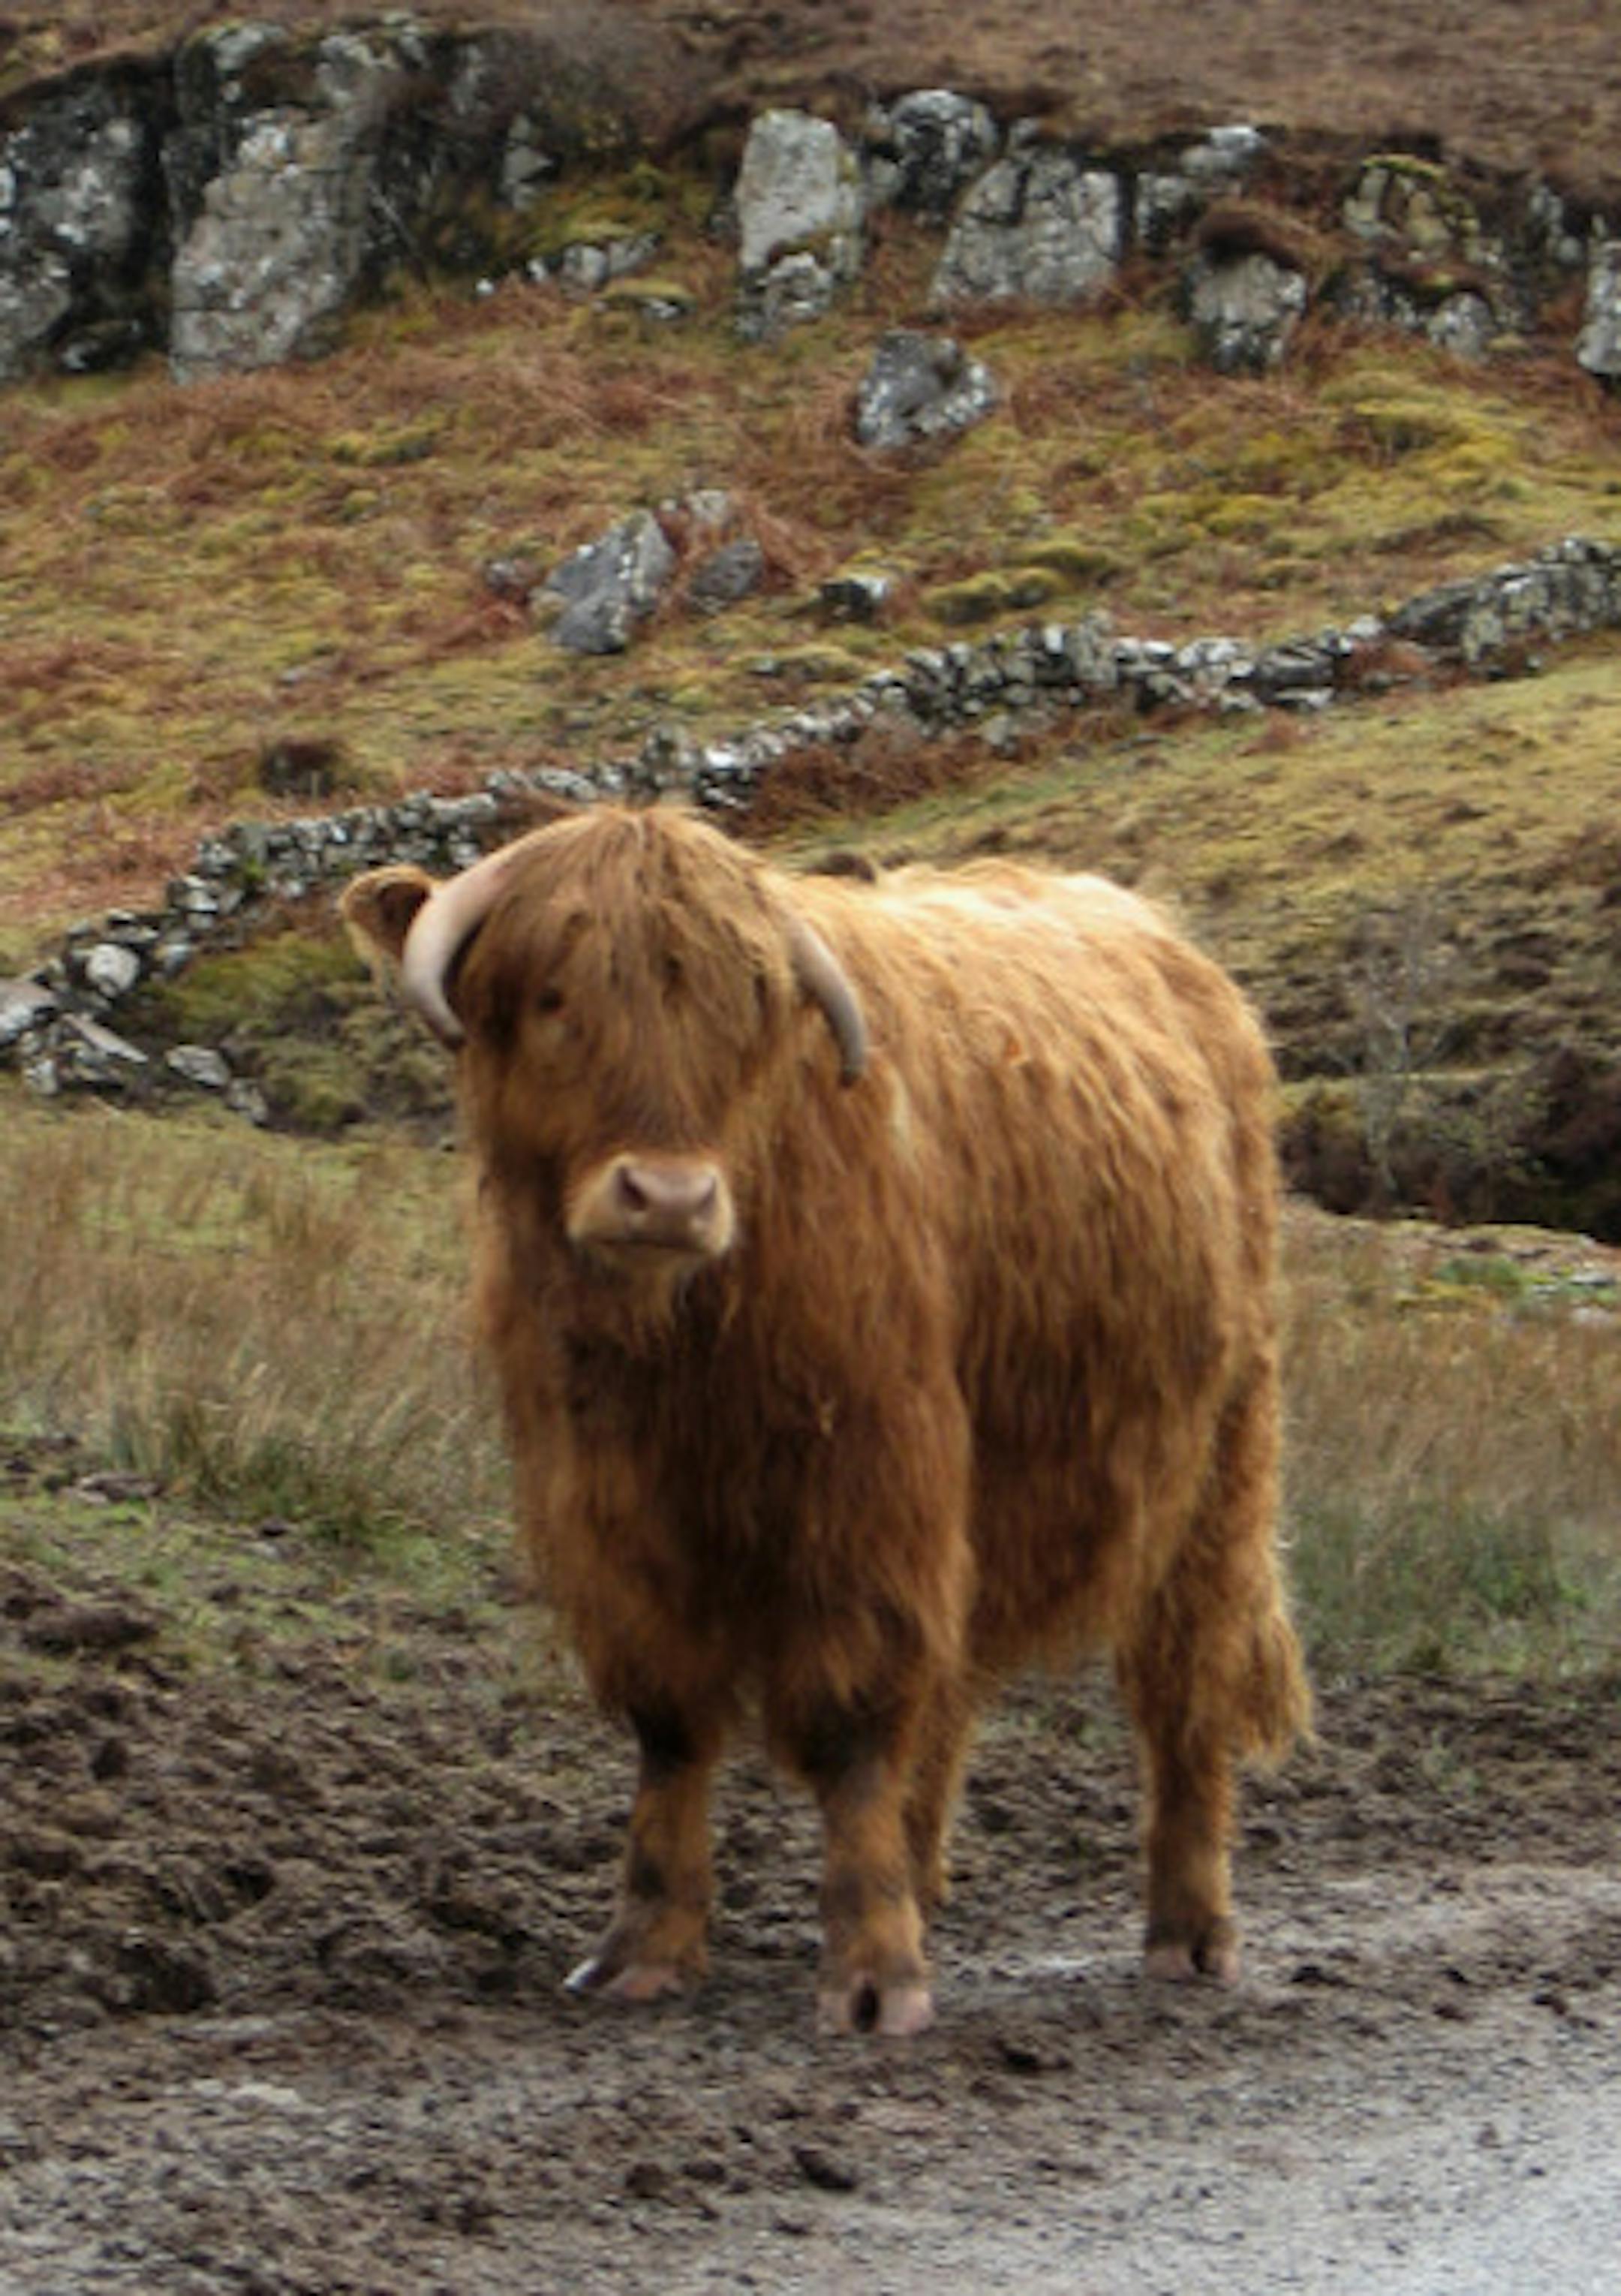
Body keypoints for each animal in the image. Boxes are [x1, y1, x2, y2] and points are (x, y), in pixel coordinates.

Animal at [341, 803, 1309, 2036]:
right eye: (553, 994)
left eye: (744, 1012)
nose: (669, 1197)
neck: (683, 1350)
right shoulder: (604, 1504)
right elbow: (671, 1723)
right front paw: (644, 1946)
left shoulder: (870, 1481)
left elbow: (854, 1716)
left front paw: (872, 1974)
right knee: (951, 1694)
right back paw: (926, 1882)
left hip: (1219, 1451)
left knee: (1186, 1683)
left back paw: (1188, 1933)